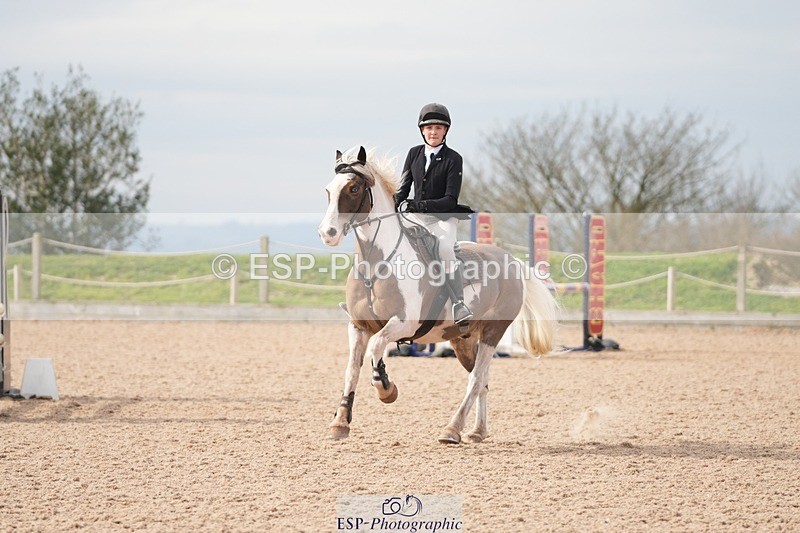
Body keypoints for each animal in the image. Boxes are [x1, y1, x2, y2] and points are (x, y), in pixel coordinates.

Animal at [318, 146, 558, 444]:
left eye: (353, 188)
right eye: (328, 190)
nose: (327, 233)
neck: (376, 266)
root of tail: (512, 260)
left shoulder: (403, 323)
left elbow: (377, 346)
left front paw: (386, 389)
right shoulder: (358, 326)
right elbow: (351, 370)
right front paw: (340, 423)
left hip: (493, 331)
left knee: (476, 379)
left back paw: (452, 430)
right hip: (463, 338)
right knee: (482, 380)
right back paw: (477, 431)